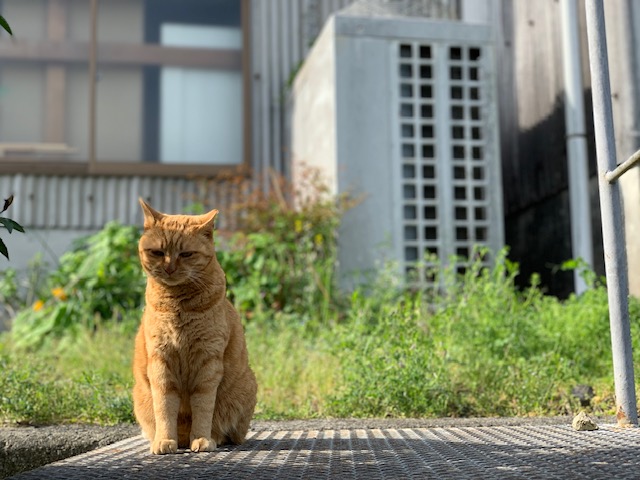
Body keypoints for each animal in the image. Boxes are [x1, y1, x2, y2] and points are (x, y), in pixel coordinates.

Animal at [133, 198, 258, 454]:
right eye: (158, 252)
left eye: (186, 254)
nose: (169, 268)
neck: (178, 305)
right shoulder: (161, 360)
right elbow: (164, 407)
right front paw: (164, 440)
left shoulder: (208, 361)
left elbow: (203, 407)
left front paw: (201, 438)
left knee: (227, 431)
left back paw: (213, 437)